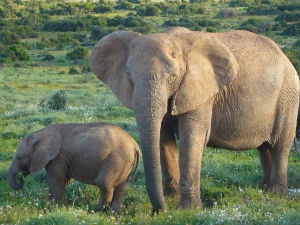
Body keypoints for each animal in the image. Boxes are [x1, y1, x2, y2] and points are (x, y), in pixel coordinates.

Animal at [7, 122, 141, 212]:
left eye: (18, 157)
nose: (21, 178)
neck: (40, 134)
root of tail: (134, 144)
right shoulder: (63, 159)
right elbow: (64, 181)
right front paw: (48, 206)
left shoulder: (58, 157)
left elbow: (56, 180)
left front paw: (58, 209)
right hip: (125, 162)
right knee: (121, 187)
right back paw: (114, 214)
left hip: (117, 159)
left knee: (104, 183)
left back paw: (94, 210)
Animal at [88, 27, 298, 212]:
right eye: (129, 75)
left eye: (173, 76)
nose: (159, 211)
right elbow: (163, 138)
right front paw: (172, 200)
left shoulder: (200, 88)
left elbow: (192, 137)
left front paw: (188, 209)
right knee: (264, 147)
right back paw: (262, 189)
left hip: (289, 96)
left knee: (280, 145)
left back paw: (276, 194)